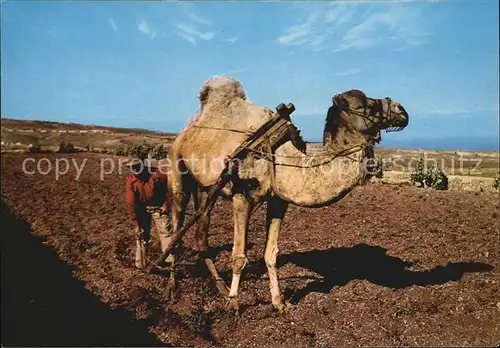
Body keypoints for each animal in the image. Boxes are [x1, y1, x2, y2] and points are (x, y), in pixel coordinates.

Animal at [166, 77, 408, 312]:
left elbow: (271, 253)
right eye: (368, 104)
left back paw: (221, 288)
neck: (277, 155)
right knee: (175, 231)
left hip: (206, 189)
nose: (401, 109)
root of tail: (187, 130)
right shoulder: (242, 197)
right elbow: (239, 256)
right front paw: (234, 304)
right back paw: (173, 289)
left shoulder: (278, 200)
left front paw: (279, 303)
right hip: (177, 170)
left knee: (201, 237)